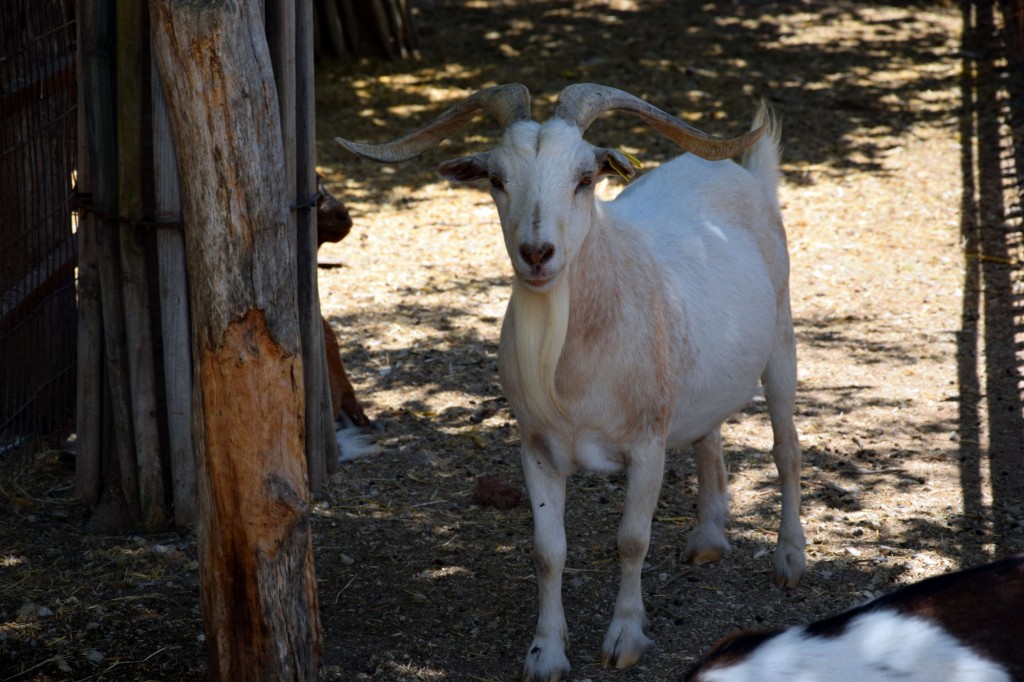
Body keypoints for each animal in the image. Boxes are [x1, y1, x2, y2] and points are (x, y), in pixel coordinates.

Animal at [339, 82, 802, 675]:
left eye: (585, 177)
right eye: (496, 178)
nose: (537, 253)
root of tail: (747, 176)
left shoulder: (647, 444)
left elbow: (632, 540)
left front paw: (624, 640)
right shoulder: (536, 446)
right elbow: (547, 550)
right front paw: (546, 653)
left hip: (782, 339)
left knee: (786, 447)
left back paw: (789, 558)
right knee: (709, 433)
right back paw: (707, 537)